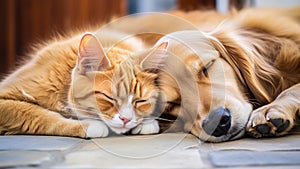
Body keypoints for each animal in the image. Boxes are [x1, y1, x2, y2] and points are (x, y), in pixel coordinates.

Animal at [0, 30, 169, 139]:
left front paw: (146, 122)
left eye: (141, 101)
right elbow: (41, 116)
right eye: (109, 98)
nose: (126, 119)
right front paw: (89, 125)